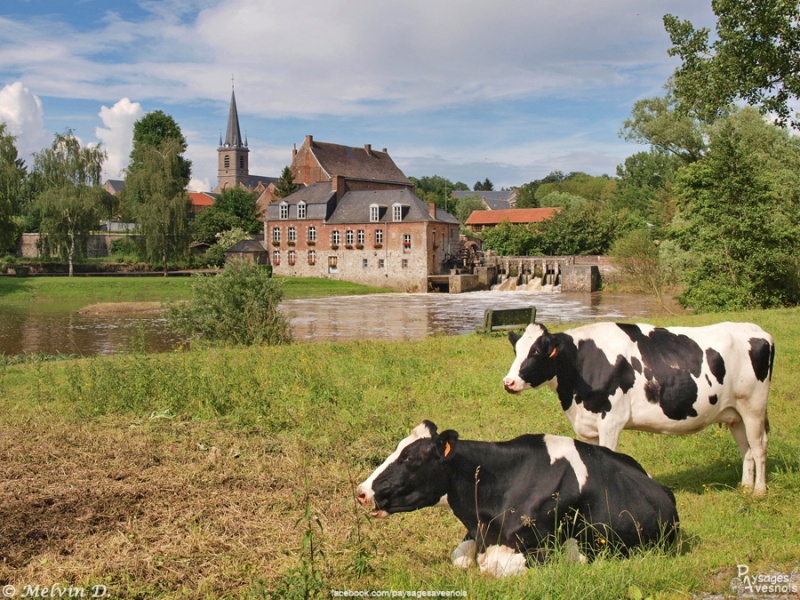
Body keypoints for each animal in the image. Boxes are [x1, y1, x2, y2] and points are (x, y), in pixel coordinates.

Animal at [356, 421, 679, 577]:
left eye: (410, 458)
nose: (362, 492)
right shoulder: (476, 531)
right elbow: (460, 557)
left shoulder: (540, 546)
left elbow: (491, 566)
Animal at [503, 321, 774, 495]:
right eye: (516, 351)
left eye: (537, 351)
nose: (508, 382)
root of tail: (758, 331)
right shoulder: (589, 423)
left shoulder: (611, 420)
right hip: (735, 414)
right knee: (746, 449)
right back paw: (745, 487)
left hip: (753, 406)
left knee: (759, 446)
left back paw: (759, 491)